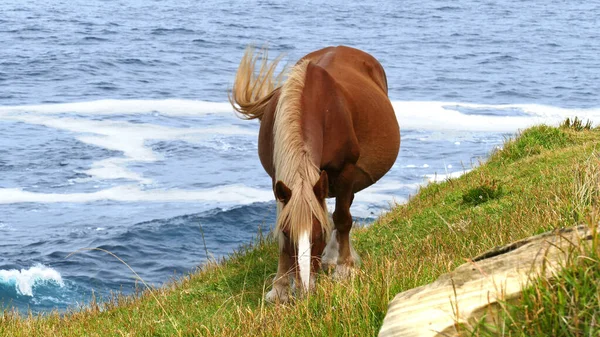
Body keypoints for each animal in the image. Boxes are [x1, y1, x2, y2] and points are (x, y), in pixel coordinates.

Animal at [227, 46, 400, 300]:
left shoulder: (345, 171)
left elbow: (342, 218)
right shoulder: (278, 179)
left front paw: (344, 268)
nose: (305, 290)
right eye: (288, 234)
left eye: (318, 235)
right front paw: (279, 287)